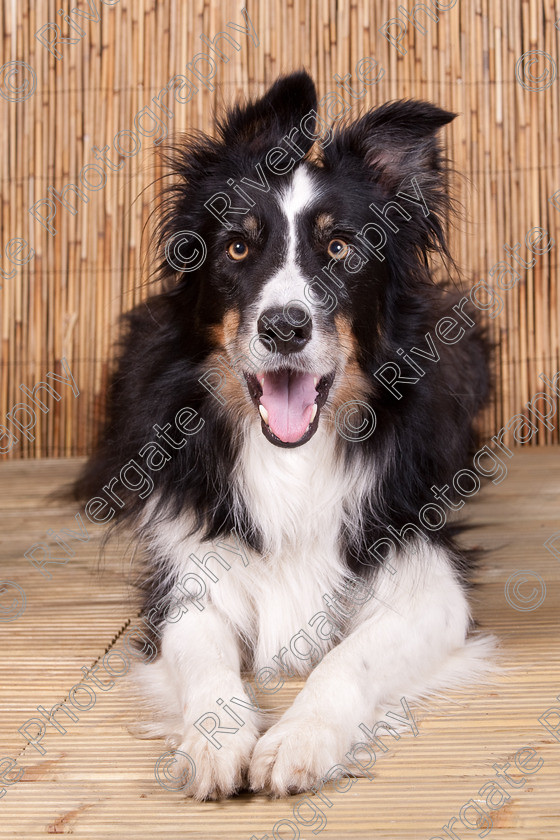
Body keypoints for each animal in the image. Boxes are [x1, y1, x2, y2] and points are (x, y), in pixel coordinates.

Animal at [71, 72, 494, 800]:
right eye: (238, 247)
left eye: (341, 249)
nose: (285, 328)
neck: (293, 456)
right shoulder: (188, 571)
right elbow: (206, 657)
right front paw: (217, 740)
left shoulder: (427, 576)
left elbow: (349, 659)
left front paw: (300, 738)